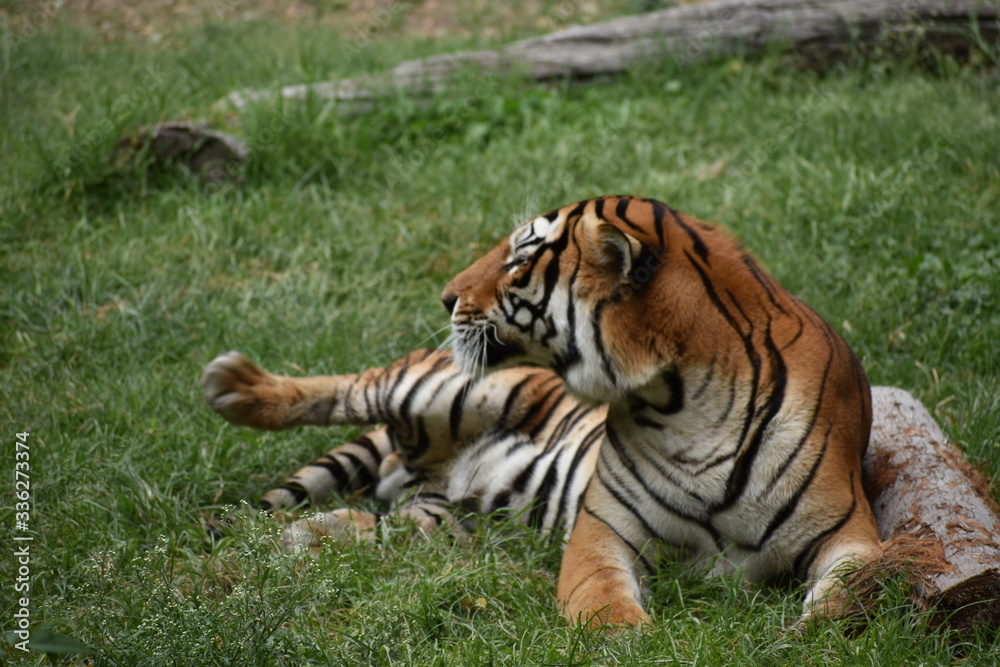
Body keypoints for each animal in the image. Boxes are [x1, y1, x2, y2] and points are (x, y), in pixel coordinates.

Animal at [201, 347, 607, 552]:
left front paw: (304, 536)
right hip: (459, 391)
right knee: (351, 389)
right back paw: (234, 385)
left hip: (440, 506)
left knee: (392, 522)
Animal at [441, 195, 882, 629]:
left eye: (519, 259)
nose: (446, 298)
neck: (689, 408)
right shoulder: (602, 528)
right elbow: (601, 598)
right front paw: (627, 634)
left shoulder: (846, 530)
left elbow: (845, 599)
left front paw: (802, 634)